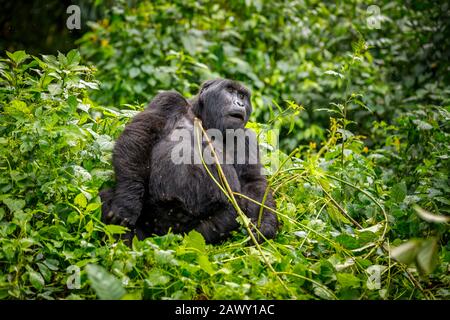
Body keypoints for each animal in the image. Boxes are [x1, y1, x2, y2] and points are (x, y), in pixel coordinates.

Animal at [100, 79, 280, 244]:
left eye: (242, 96)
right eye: (230, 91)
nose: (240, 103)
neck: (204, 120)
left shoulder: (246, 137)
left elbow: (252, 183)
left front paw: (265, 226)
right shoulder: (169, 100)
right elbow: (140, 135)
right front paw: (127, 204)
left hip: (191, 233)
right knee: (107, 195)